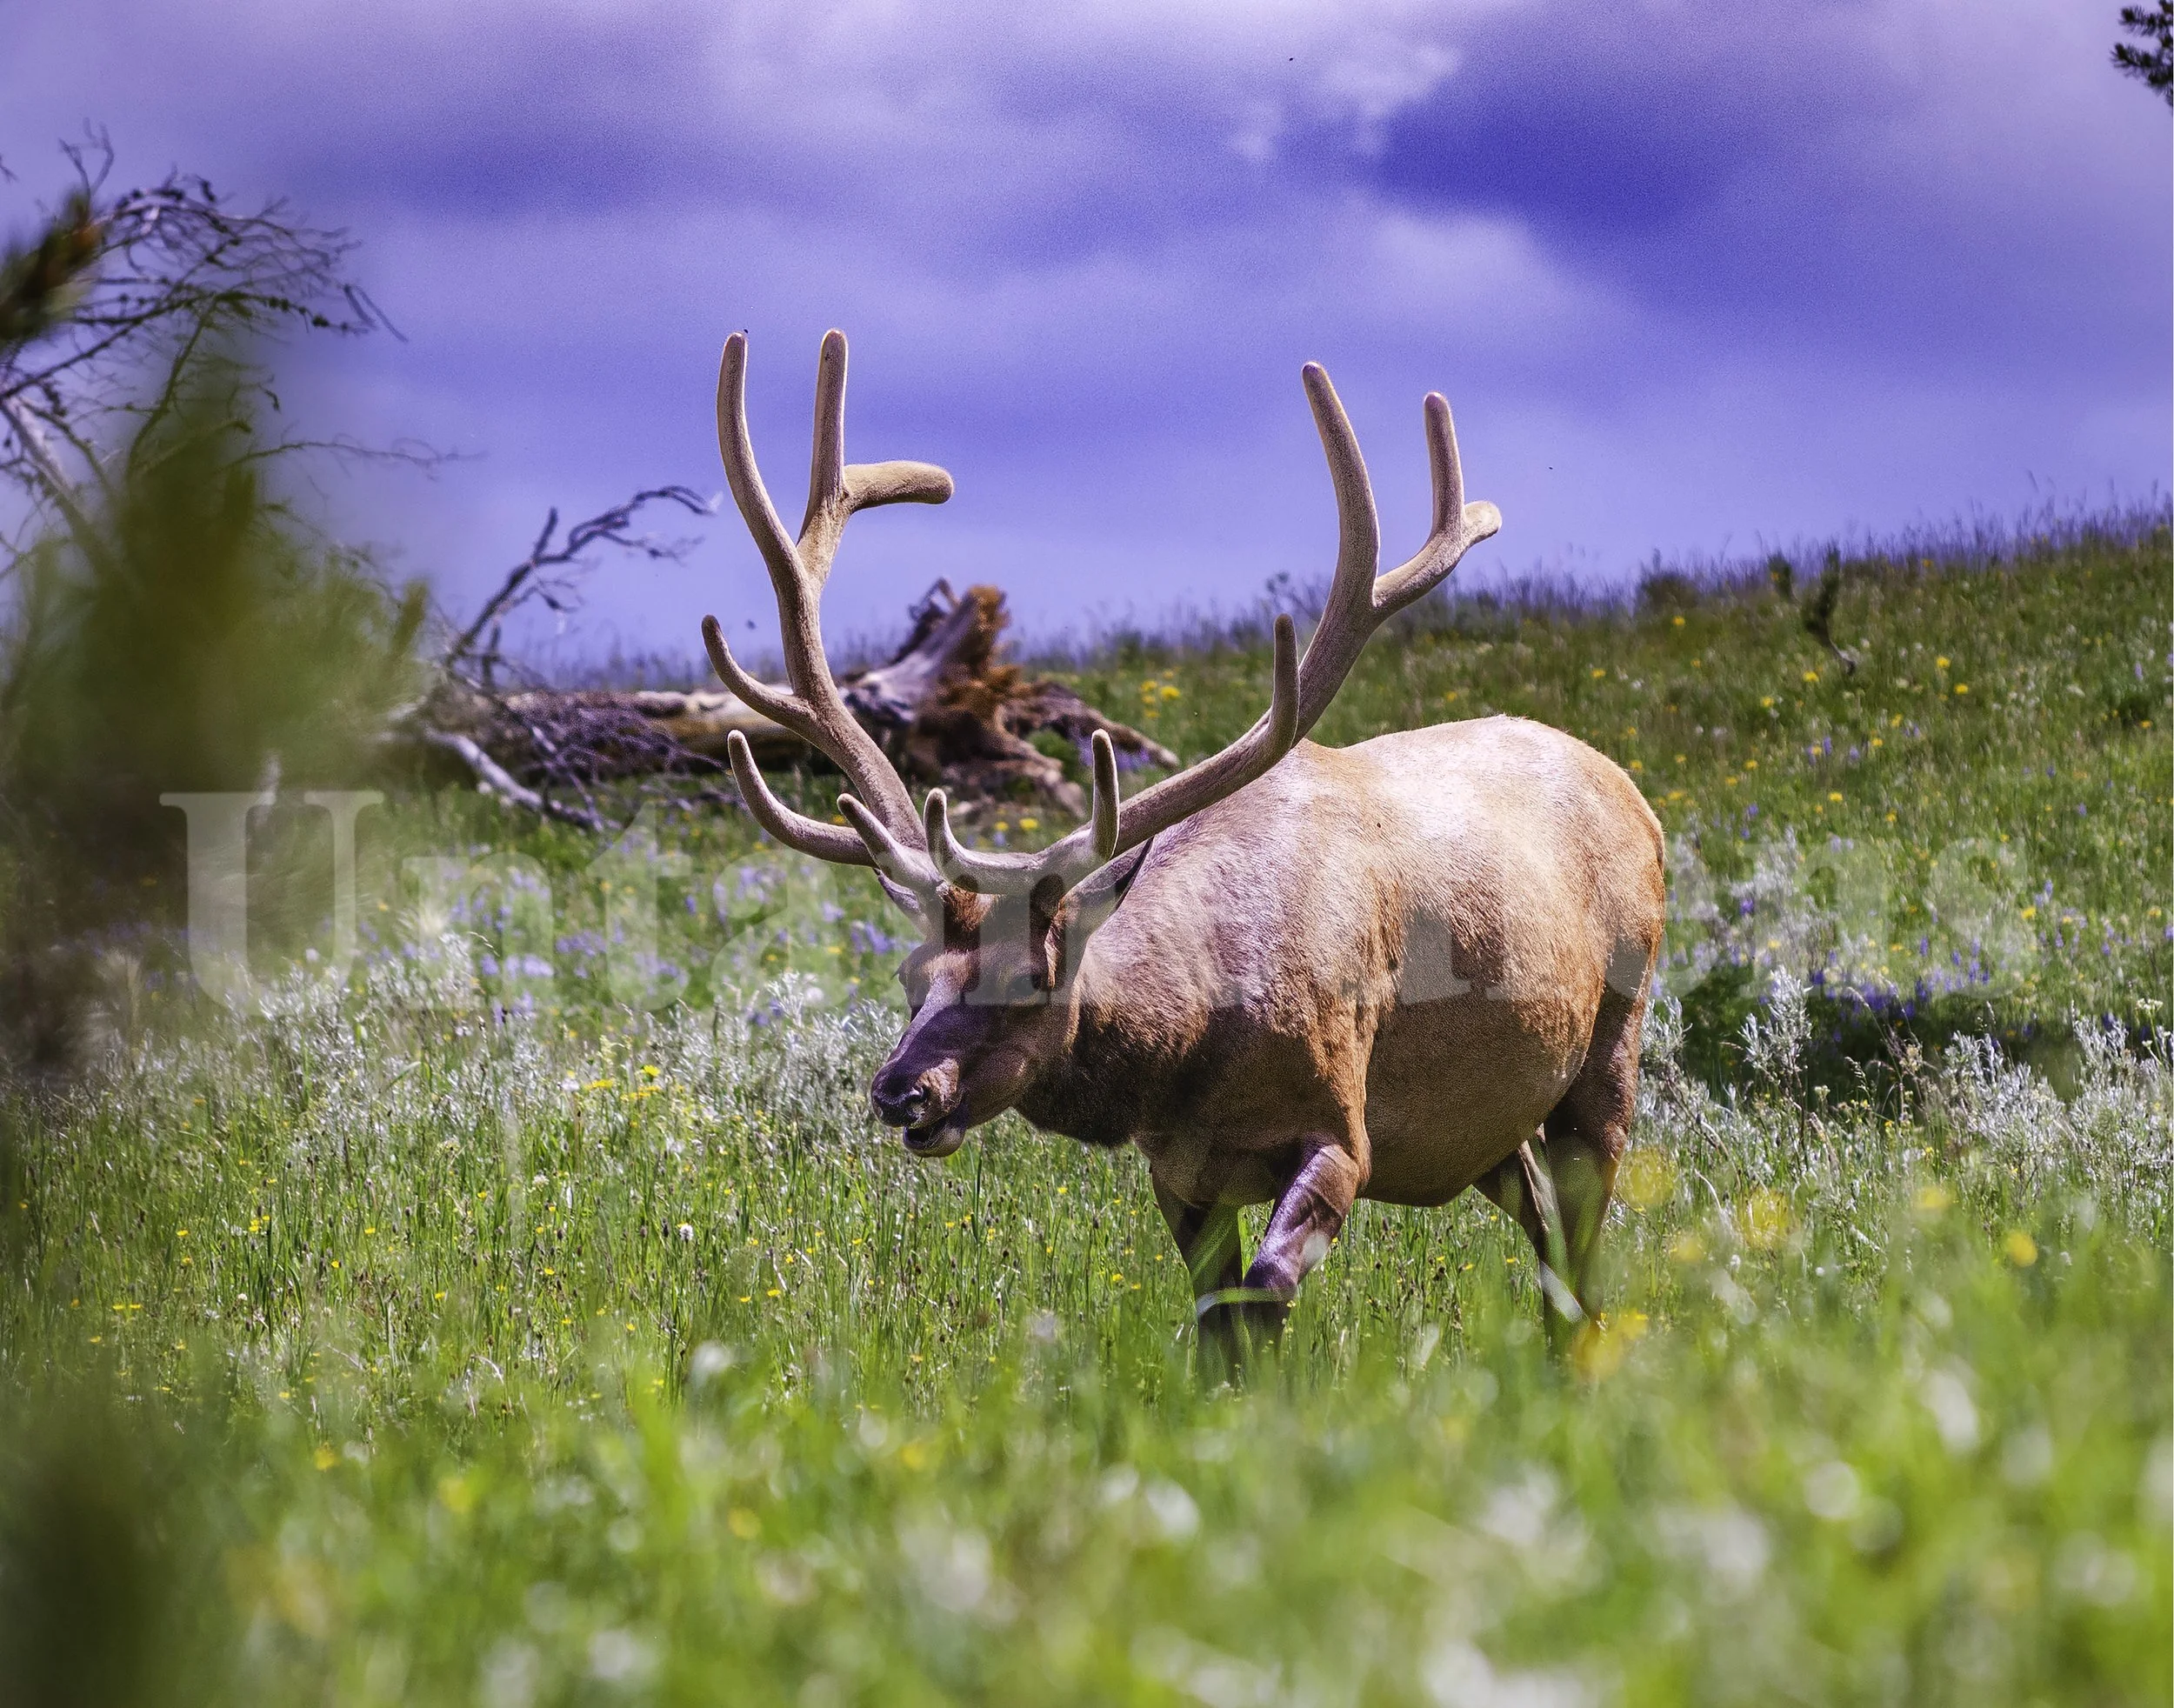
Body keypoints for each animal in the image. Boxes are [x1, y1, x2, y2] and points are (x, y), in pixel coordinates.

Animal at [701, 329, 1666, 1368]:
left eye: (1030, 976)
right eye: (911, 976)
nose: (900, 1091)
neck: (1195, 1047)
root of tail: (1634, 794)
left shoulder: (1342, 1129)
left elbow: (1266, 1299)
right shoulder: (1180, 1171)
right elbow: (1218, 1329)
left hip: (1612, 1047)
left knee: (1581, 1258)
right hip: (1493, 1133)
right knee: (1547, 1247)